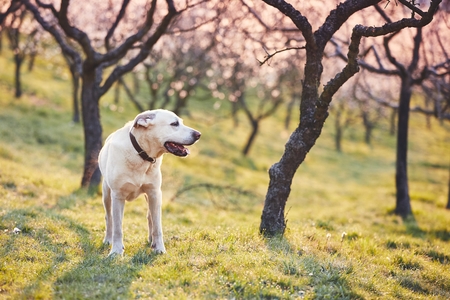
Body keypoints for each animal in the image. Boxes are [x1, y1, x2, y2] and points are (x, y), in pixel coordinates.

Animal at [100, 110, 202, 255]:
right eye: (174, 123)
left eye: (181, 122)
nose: (198, 134)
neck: (141, 155)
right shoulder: (118, 196)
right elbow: (117, 227)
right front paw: (116, 251)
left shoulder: (154, 193)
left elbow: (157, 226)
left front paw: (159, 248)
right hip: (107, 194)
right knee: (109, 218)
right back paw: (108, 240)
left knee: (150, 217)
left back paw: (151, 241)